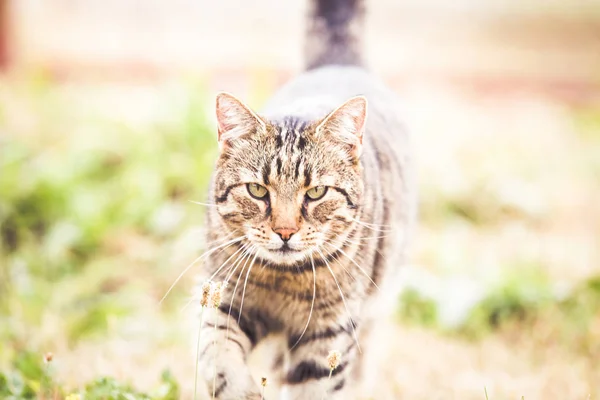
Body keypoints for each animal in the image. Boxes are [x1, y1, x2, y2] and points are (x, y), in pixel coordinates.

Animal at [195, 0, 414, 398]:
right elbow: (218, 354)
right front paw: (240, 388)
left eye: (315, 192)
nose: (284, 231)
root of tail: (339, 62)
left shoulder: (329, 335)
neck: (284, 280)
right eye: (257, 190)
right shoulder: (225, 299)